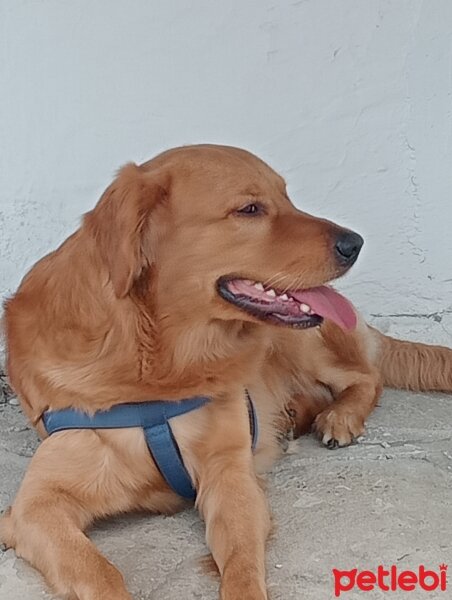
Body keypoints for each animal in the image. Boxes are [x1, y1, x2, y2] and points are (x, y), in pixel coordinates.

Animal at [2, 146, 452, 600]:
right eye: (250, 209)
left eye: (287, 197)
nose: (354, 243)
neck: (161, 363)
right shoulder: (36, 504)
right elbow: (100, 572)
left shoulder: (230, 473)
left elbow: (241, 561)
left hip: (301, 343)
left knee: (365, 377)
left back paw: (338, 417)